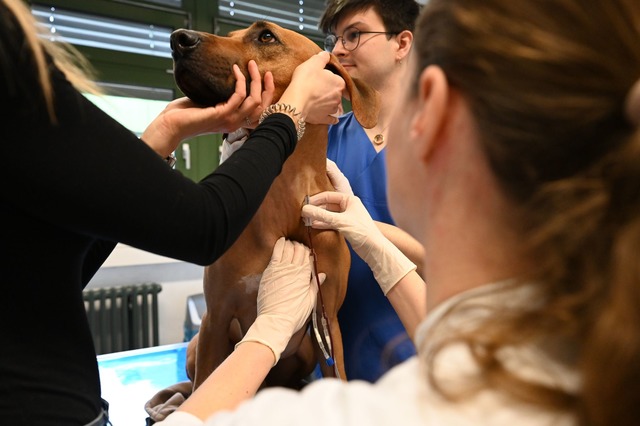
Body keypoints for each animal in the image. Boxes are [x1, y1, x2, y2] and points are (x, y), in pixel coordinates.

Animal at [170, 21, 380, 392]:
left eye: (265, 36)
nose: (179, 39)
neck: (283, 194)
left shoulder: (328, 322)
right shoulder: (216, 318)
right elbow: (205, 382)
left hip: (309, 348)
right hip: (199, 343)